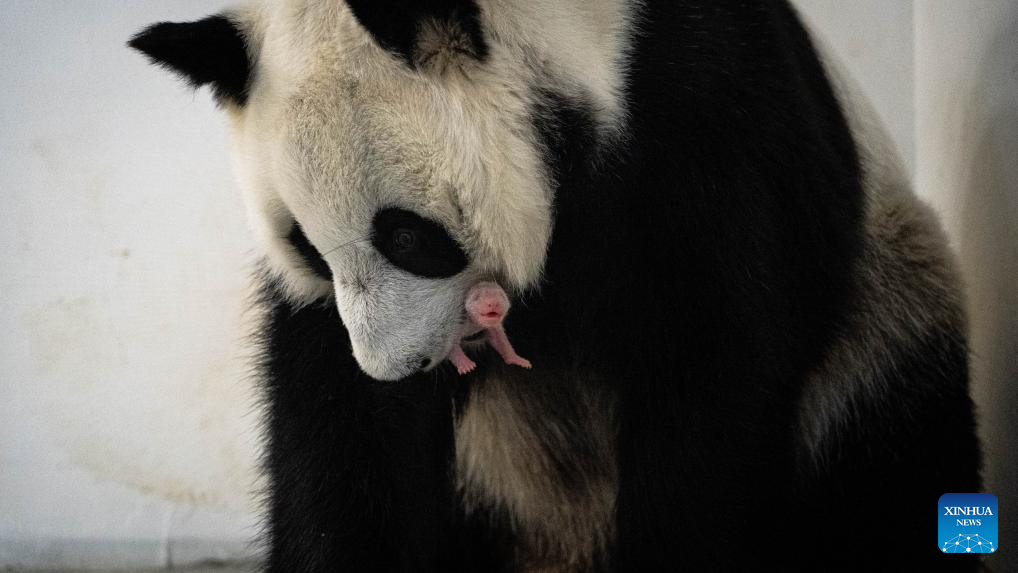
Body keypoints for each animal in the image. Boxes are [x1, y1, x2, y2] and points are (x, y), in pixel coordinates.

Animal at [127, 2, 977, 569]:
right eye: (304, 244)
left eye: (408, 236)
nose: (399, 366)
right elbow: (341, 424)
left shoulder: (712, 131)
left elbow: (717, 370)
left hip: (888, 311)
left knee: (892, 458)